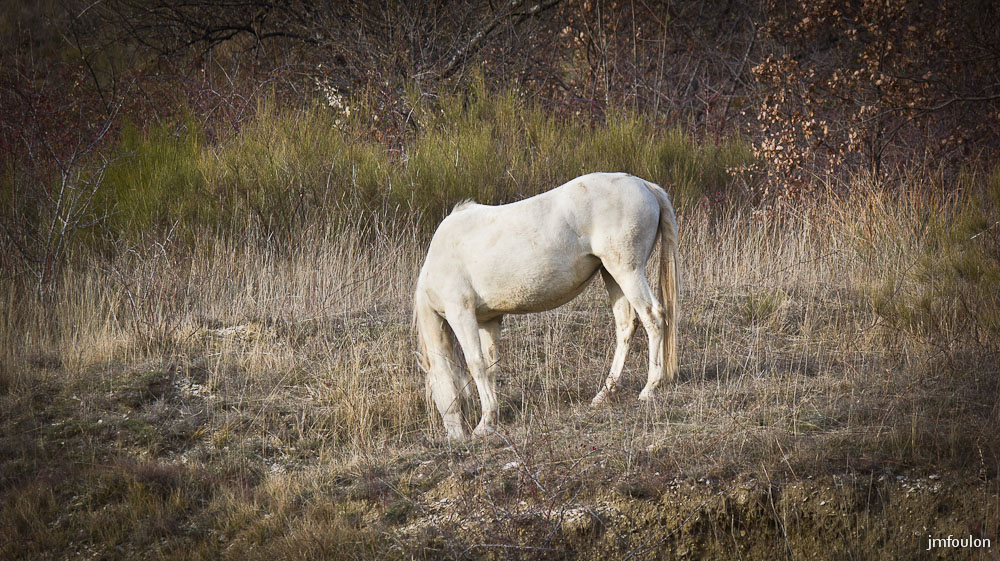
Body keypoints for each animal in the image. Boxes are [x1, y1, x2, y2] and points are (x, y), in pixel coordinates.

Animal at [414, 172, 680, 438]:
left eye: (433, 392)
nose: (455, 438)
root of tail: (645, 185)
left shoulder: (461, 313)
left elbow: (476, 364)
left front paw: (484, 424)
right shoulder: (488, 320)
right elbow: (490, 366)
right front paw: (492, 416)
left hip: (627, 272)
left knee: (653, 318)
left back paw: (649, 388)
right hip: (611, 275)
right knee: (625, 326)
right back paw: (603, 394)